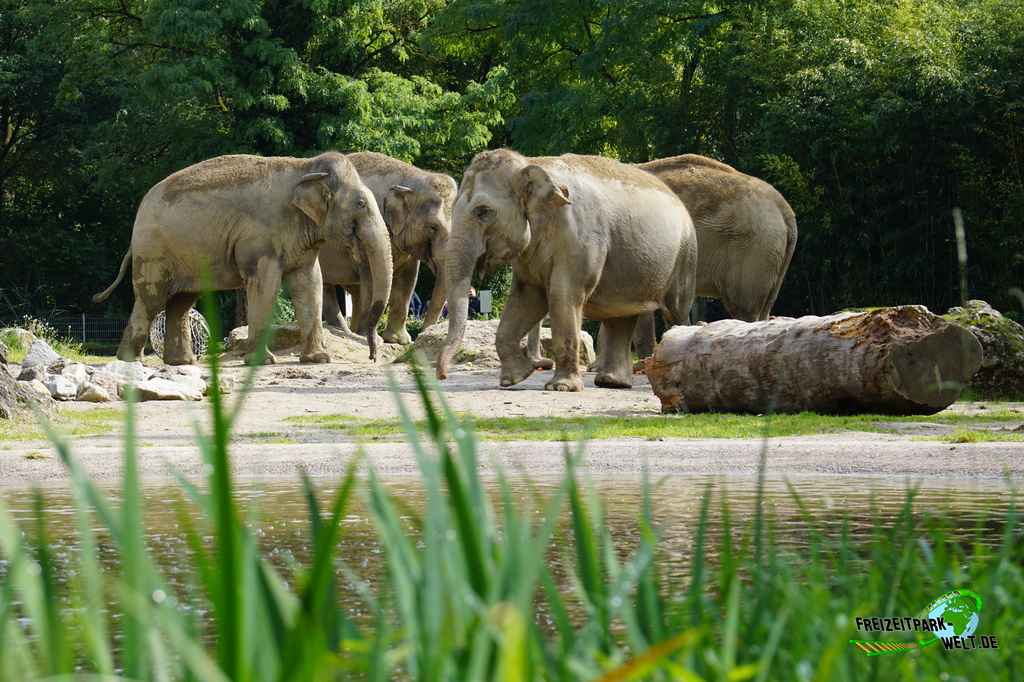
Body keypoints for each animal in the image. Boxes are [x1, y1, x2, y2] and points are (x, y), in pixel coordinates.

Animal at [94, 152, 393, 366]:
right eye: (361, 204)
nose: (372, 356)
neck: (305, 166)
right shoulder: (260, 240)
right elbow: (265, 286)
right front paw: (263, 363)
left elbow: (310, 283)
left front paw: (318, 360)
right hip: (154, 252)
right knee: (151, 300)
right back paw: (131, 362)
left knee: (181, 302)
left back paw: (182, 363)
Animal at [315, 153, 452, 346]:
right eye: (433, 227)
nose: (422, 335)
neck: (413, 177)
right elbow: (373, 277)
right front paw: (375, 339)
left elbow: (408, 280)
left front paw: (398, 341)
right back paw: (345, 331)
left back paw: (350, 331)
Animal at [436, 150, 700, 391]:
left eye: (482, 211)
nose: (442, 376)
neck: (532, 163)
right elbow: (527, 298)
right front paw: (514, 379)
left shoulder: (580, 237)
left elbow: (562, 295)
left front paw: (561, 387)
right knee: (621, 316)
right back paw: (611, 382)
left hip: (685, 257)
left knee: (676, 311)